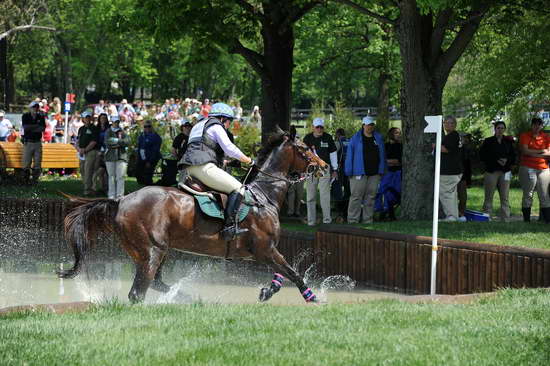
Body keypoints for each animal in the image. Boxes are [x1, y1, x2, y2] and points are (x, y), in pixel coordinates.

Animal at [58, 130, 330, 304]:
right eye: (304, 149)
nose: (325, 166)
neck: (264, 195)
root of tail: (120, 200)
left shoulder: (267, 251)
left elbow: (284, 272)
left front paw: (268, 290)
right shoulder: (265, 249)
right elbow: (293, 272)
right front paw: (314, 298)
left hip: (155, 251)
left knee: (155, 282)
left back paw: (185, 298)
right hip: (152, 250)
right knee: (138, 292)